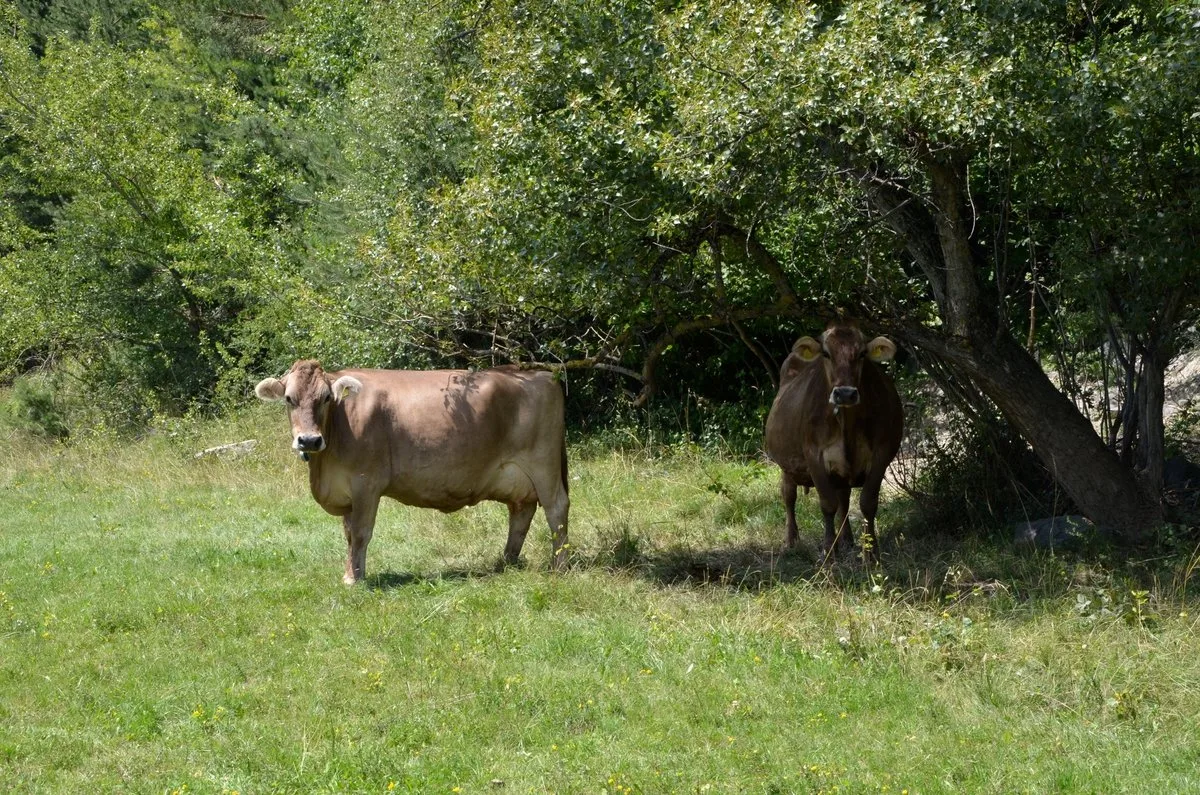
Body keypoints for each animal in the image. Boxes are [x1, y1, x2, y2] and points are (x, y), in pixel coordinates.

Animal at [255, 360, 570, 583]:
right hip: (517, 478)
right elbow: (348, 534)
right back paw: (505, 563)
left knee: (556, 509)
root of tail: (540, 373)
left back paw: (559, 566)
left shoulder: (366, 484)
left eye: (326, 398)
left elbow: (360, 533)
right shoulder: (345, 490)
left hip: (544, 465)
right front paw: (349, 572)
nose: (309, 440)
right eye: (289, 399)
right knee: (521, 512)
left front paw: (356, 579)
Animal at [764, 321, 903, 563]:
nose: (845, 393)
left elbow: (867, 503)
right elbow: (828, 504)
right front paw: (828, 552)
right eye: (826, 354)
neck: (847, 424)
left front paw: (870, 553)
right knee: (789, 495)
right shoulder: (814, 456)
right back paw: (791, 540)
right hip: (786, 464)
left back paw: (846, 538)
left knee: (844, 499)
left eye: (862, 353)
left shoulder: (881, 454)